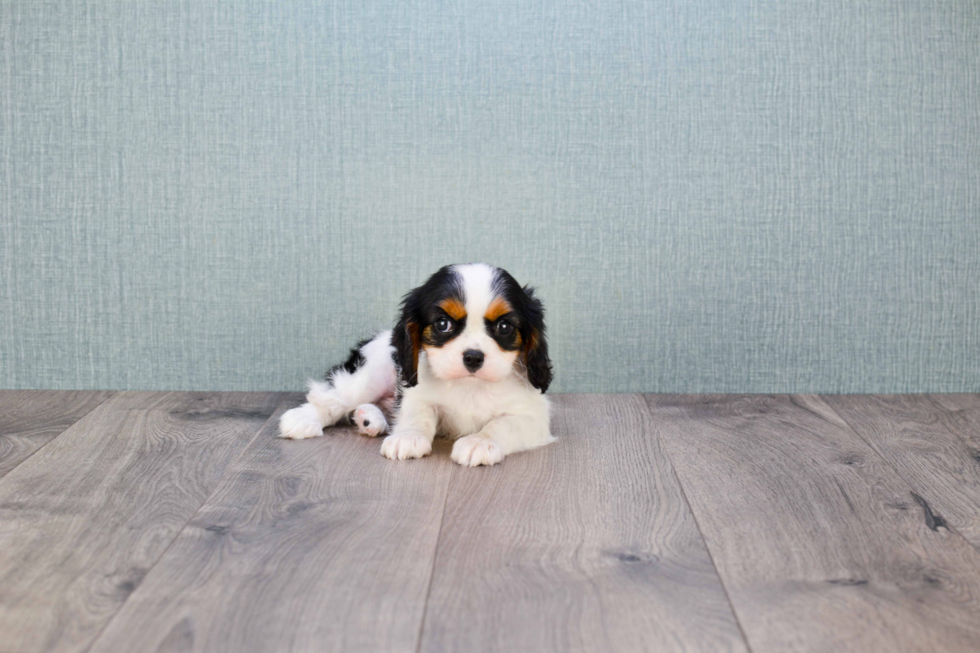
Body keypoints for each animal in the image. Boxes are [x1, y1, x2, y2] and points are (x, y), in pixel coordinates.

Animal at [280, 262, 556, 466]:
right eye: (443, 324)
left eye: (504, 327)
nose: (473, 357)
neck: (469, 385)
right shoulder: (416, 392)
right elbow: (418, 414)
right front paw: (407, 437)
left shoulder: (532, 415)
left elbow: (501, 424)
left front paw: (479, 442)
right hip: (373, 372)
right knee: (334, 398)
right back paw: (303, 419)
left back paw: (369, 419)